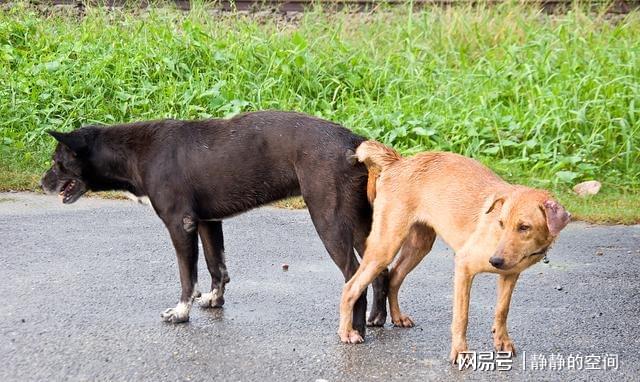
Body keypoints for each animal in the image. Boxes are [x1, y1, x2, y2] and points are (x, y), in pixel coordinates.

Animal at [42, 109, 390, 334]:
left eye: (58, 163)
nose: (43, 183)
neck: (134, 153)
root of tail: (353, 142)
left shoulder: (180, 224)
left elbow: (188, 277)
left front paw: (180, 312)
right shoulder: (208, 222)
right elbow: (216, 267)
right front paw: (214, 300)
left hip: (329, 220)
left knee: (353, 275)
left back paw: (354, 330)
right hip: (360, 224)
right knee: (378, 271)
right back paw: (375, 320)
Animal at [340, 142, 568, 362]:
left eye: (524, 227)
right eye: (501, 223)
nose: (495, 261)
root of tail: (398, 161)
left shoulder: (510, 274)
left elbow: (502, 310)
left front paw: (502, 340)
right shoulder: (464, 266)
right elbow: (462, 316)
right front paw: (459, 351)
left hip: (419, 245)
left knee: (394, 276)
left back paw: (397, 317)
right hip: (385, 246)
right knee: (350, 287)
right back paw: (346, 332)